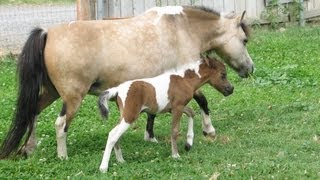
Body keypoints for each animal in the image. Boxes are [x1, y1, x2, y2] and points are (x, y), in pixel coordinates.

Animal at [0, 5, 252, 160]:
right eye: (244, 40)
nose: (250, 69)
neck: (181, 28)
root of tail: (47, 32)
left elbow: (152, 112)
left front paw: (150, 136)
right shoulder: (184, 80)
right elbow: (203, 101)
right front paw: (209, 130)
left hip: (51, 93)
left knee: (32, 112)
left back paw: (29, 149)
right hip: (72, 98)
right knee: (60, 124)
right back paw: (63, 156)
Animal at [97, 57, 232, 173]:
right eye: (223, 74)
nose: (231, 89)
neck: (184, 80)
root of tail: (117, 90)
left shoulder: (174, 108)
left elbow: (191, 112)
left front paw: (188, 143)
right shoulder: (177, 107)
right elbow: (175, 130)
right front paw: (175, 155)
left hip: (124, 115)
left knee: (116, 133)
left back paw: (120, 160)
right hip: (129, 116)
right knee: (113, 134)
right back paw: (103, 167)